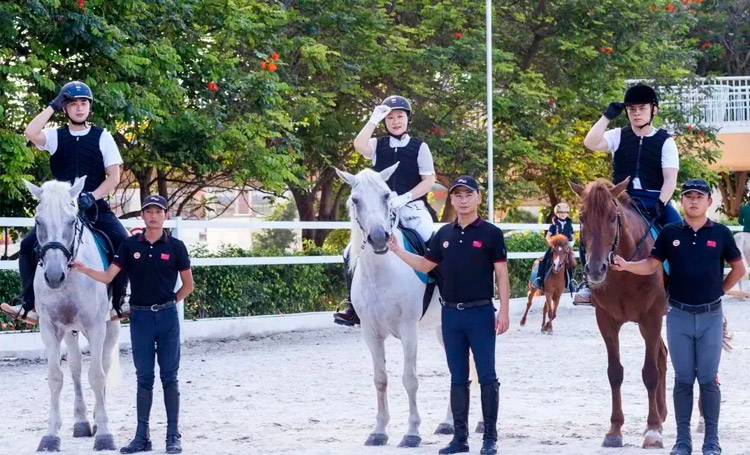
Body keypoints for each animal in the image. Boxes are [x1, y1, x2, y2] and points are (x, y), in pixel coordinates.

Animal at [25, 178, 120, 452]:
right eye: (38, 221)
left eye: (70, 221)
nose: (54, 275)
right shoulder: (50, 328)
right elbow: (56, 377)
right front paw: (50, 435)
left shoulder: (97, 326)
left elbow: (97, 376)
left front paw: (105, 434)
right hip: (70, 330)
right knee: (76, 368)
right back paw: (82, 422)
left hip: (111, 326)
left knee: (103, 364)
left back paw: (98, 421)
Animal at [338, 165, 462, 448]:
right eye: (355, 200)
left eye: (386, 196)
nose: (378, 238)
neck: (382, 271)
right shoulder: (370, 333)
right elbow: (380, 379)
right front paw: (378, 431)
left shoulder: (408, 330)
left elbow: (410, 379)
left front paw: (412, 432)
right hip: (443, 328)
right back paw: (448, 423)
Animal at [572, 178, 672, 448]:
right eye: (582, 217)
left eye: (612, 217)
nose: (596, 269)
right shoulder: (606, 321)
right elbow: (615, 373)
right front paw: (615, 430)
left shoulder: (651, 317)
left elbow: (650, 373)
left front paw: (653, 430)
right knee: (662, 354)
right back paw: (662, 413)